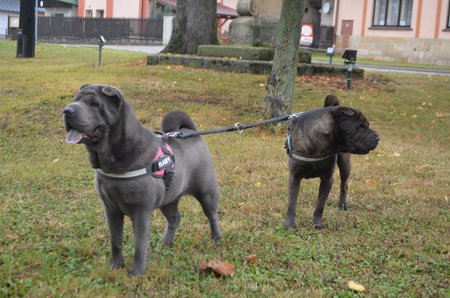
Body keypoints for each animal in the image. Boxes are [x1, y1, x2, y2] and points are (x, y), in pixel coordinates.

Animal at [64, 84, 222, 274]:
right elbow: (115, 240)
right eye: (75, 100)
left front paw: (137, 273)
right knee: (174, 218)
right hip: (168, 199)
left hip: (206, 191)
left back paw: (216, 238)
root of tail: (191, 132)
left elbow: (139, 245)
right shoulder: (111, 209)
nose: (67, 110)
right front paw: (116, 265)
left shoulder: (141, 211)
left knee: (212, 215)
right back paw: (165, 242)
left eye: (94, 104)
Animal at [284, 95, 380, 228]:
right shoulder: (294, 177)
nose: (377, 137)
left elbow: (320, 205)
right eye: (361, 126)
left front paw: (317, 224)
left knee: (344, 185)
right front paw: (289, 224)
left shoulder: (327, 179)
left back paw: (342, 205)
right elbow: (292, 203)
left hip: (345, 164)